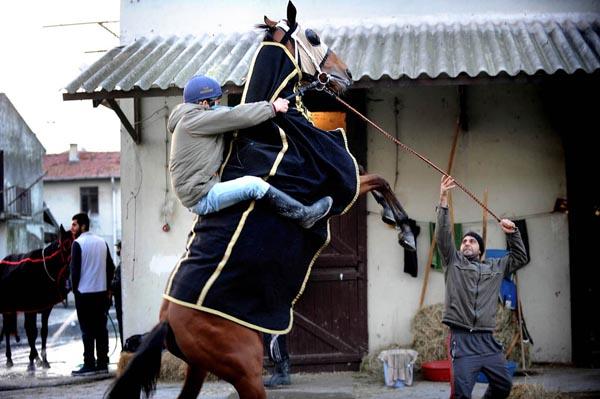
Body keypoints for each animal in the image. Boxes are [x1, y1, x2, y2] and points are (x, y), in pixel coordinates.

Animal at [0, 227, 74, 370]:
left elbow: (43, 331)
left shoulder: (46, 308)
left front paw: (43, 360)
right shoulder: (31, 309)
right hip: (7, 307)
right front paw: (35, 359)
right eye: (66, 244)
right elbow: (31, 332)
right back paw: (9, 358)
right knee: (7, 330)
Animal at [106, 1, 412, 398]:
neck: (275, 131)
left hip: (200, 368)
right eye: (312, 35)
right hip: (246, 372)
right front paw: (404, 228)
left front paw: (401, 226)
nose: (344, 74)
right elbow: (379, 179)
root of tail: (168, 323)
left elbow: (377, 179)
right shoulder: (341, 181)